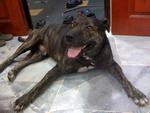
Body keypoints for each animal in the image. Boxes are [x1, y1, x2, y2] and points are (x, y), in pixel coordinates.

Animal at [0, 13, 148, 111]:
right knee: (12, 57)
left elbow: (125, 79)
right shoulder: (58, 68)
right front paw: (23, 99)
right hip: (30, 41)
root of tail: (39, 27)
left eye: (89, 27)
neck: (88, 55)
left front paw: (137, 94)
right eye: (72, 24)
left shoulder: (112, 64)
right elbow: (39, 84)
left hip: (39, 54)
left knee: (23, 62)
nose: (68, 36)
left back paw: (13, 72)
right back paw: (4, 67)